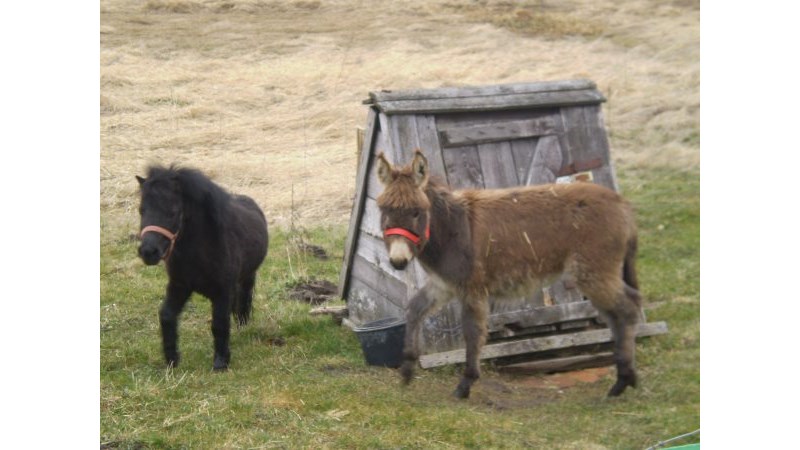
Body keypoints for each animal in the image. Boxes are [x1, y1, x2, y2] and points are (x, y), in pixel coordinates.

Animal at [134, 163, 266, 370]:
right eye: (142, 210)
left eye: (173, 212)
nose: (148, 252)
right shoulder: (180, 286)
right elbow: (166, 316)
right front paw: (171, 359)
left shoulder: (222, 291)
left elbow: (219, 324)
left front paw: (220, 362)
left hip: (248, 276)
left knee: (244, 299)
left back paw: (243, 328)